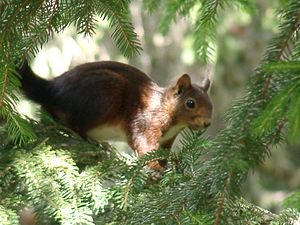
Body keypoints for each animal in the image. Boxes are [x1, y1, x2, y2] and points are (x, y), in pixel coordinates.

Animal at [17, 59, 212, 171]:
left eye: (211, 104)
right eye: (190, 103)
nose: (208, 123)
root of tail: (51, 90)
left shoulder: (167, 141)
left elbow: (163, 153)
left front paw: (164, 167)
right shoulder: (146, 121)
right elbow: (142, 143)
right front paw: (154, 167)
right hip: (103, 96)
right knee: (73, 124)